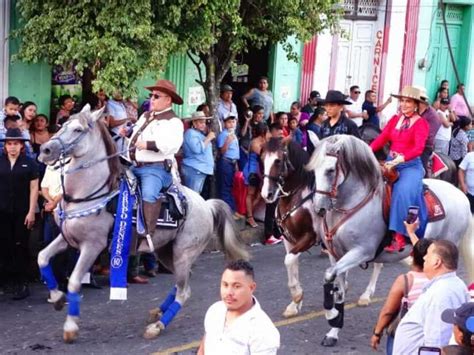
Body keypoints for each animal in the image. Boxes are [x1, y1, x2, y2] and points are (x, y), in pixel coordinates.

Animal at [37, 105, 248, 342]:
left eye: (77, 129)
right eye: (62, 124)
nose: (45, 150)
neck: (87, 193)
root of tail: (207, 204)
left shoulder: (92, 245)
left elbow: (74, 281)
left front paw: (71, 327)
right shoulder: (67, 239)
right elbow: (42, 257)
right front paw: (56, 297)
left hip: (184, 253)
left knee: (184, 291)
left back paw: (157, 326)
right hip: (167, 252)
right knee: (182, 282)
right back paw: (158, 312)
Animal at [262, 138, 316, 318]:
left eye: (278, 161)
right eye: (262, 159)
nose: (266, 194)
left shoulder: (310, 236)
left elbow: (289, 260)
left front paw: (297, 296)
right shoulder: (289, 239)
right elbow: (292, 263)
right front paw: (294, 304)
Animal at [306, 134, 472, 348]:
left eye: (330, 170)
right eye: (313, 170)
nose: (318, 208)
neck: (350, 204)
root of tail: (460, 193)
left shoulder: (361, 252)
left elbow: (328, 276)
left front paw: (330, 314)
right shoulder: (336, 256)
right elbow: (337, 287)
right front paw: (333, 329)